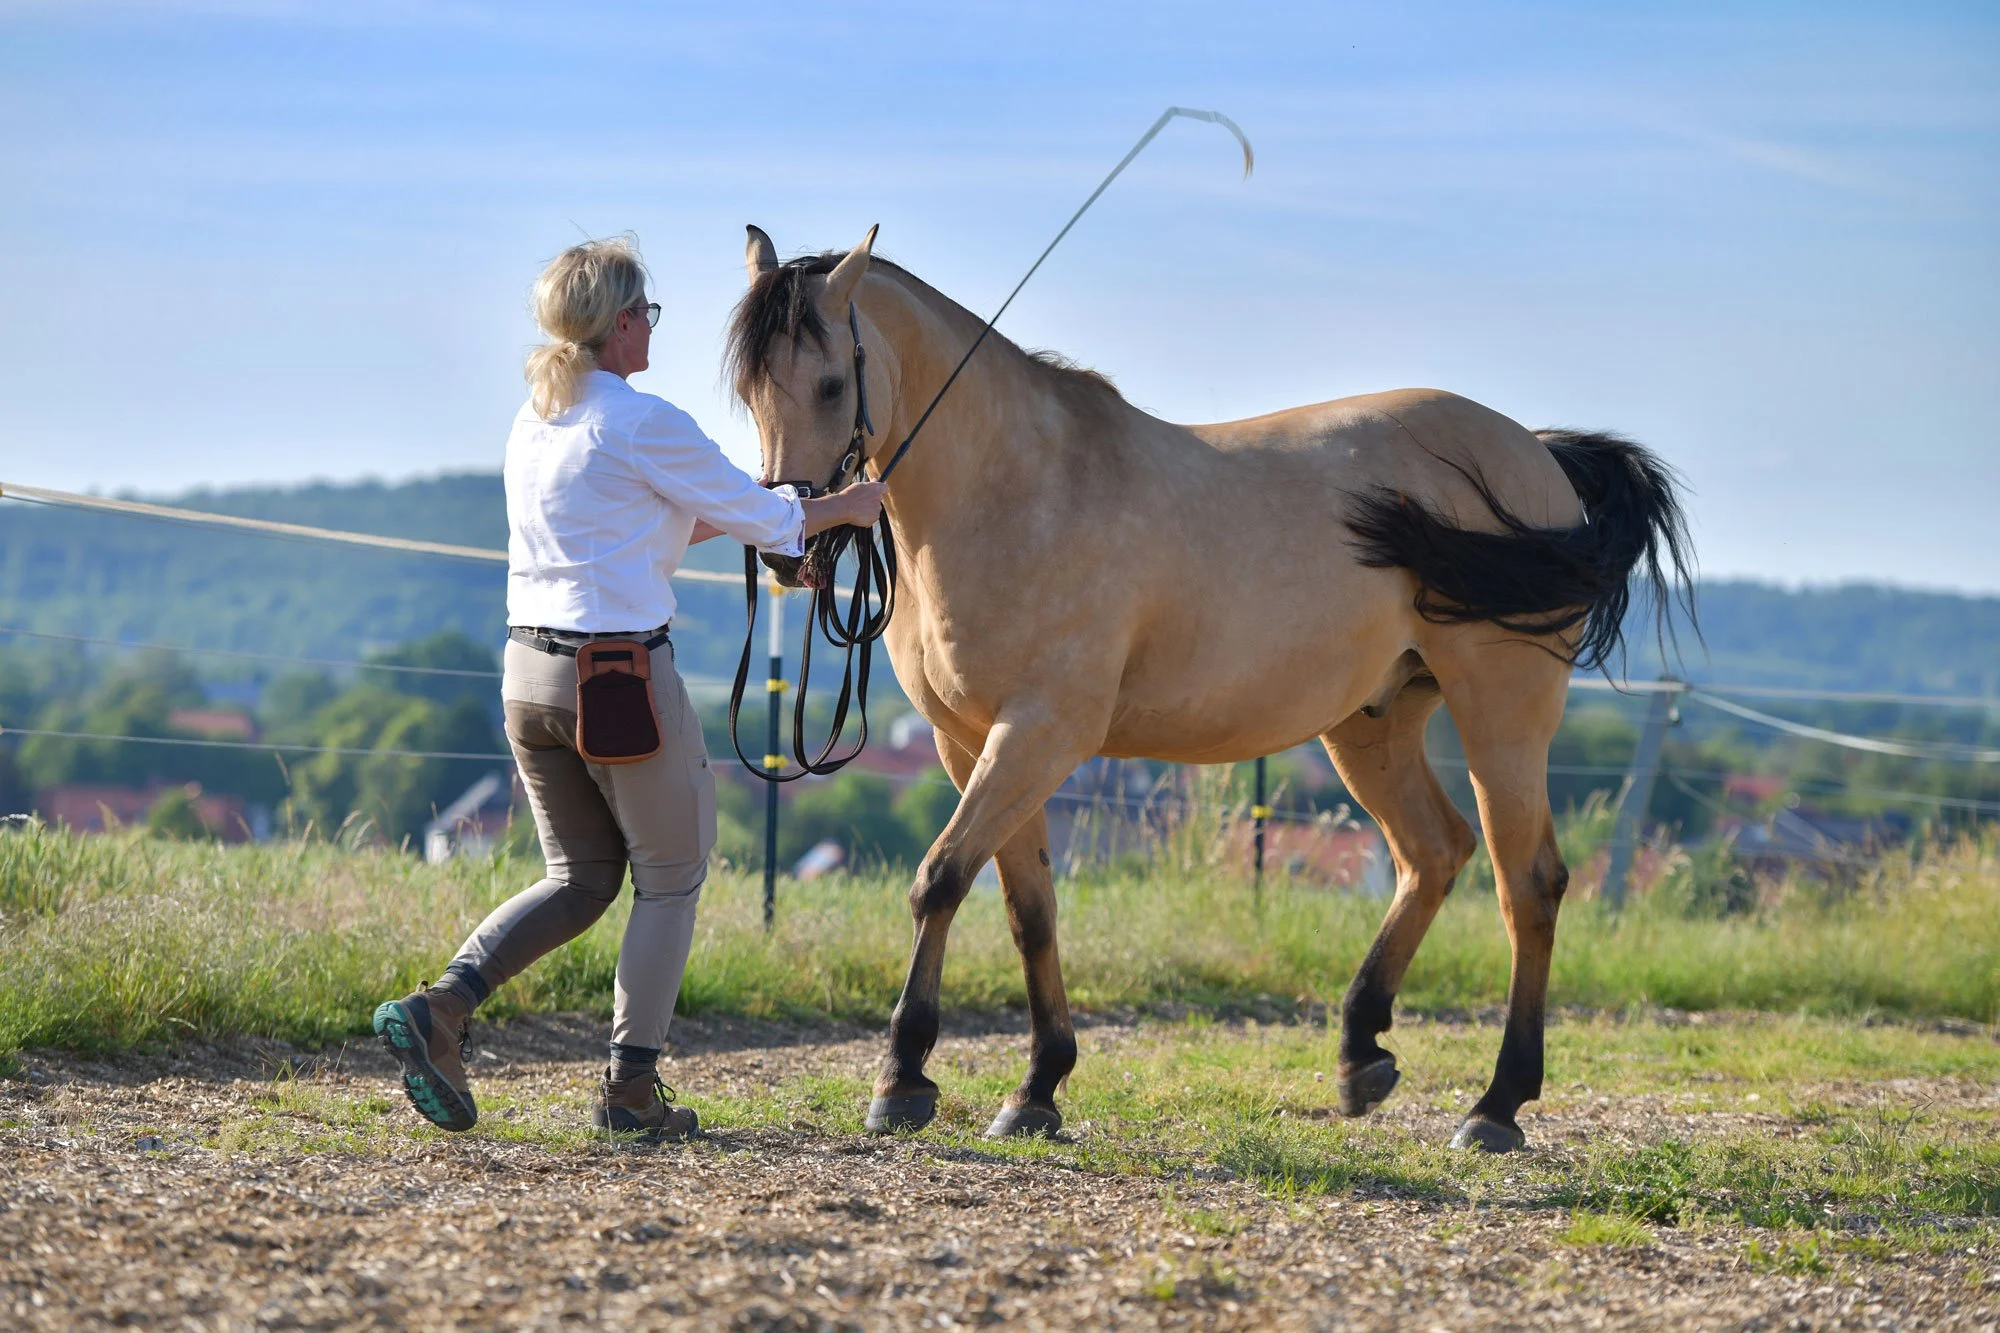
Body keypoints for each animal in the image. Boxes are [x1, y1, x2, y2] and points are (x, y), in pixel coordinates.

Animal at [727, 225, 1692, 1152]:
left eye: (828, 383)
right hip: (1371, 724)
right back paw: (1361, 1055)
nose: (789, 548)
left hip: (1503, 715)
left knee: (1527, 882)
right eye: (750, 391)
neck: (1018, 486)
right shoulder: (973, 744)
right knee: (1434, 851)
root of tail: (1539, 455)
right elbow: (1027, 908)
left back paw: (1497, 1104)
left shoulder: (1040, 733)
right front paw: (1037, 1086)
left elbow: (939, 878)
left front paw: (902, 1077)